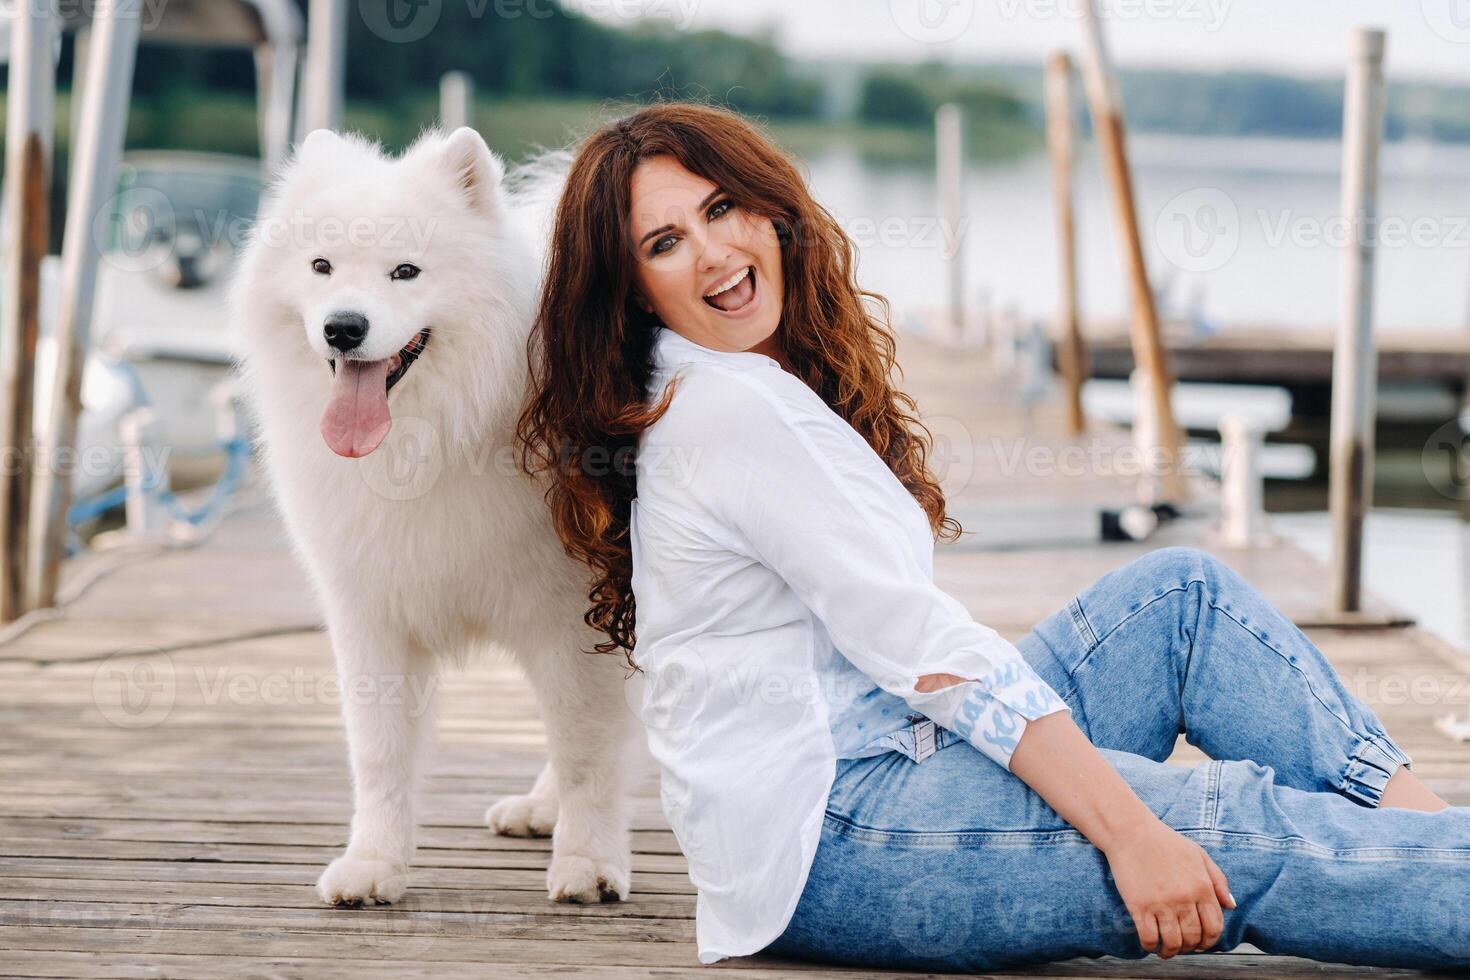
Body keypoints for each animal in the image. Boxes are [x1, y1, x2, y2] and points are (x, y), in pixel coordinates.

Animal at [232, 126, 635, 910]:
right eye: (321, 266)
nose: (343, 327)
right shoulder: (372, 615)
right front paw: (373, 865)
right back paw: (536, 810)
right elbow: (380, 754)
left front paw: (590, 864)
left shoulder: (578, 620)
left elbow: (588, 751)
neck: (435, 439)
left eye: (406, 272)